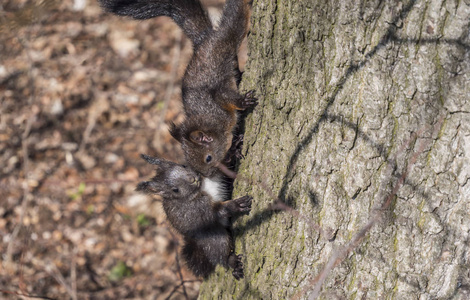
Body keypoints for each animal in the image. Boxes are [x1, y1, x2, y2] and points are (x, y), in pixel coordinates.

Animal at [98, 0, 258, 178]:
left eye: (208, 158)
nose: (208, 174)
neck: (210, 120)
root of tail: (205, 39)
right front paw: (233, 152)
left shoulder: (218, 102)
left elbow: (225, 97)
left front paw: (243, 102)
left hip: (228, 39)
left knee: (236, 17)